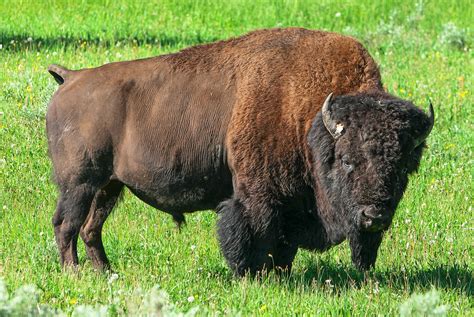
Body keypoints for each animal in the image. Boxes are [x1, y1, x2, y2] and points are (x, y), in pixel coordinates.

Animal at [47, 27, 434, 274]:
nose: (375, 216)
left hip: (109, 186)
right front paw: (251, 275)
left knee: (90, 228)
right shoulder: (257, 196)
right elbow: (254, 235)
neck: (307, 118)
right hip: (79, 184)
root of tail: (72, 77)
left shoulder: (292, 204)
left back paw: (105, 272)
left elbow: (284, 246)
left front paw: (280, 274)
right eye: (348, 161)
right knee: (67, 225)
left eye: (401, 169)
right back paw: (75, 273)